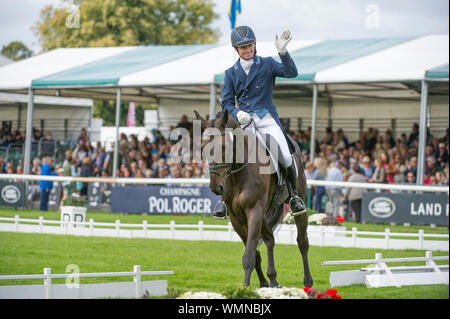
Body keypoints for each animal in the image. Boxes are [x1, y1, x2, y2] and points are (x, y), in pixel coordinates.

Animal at [193, 109, 312, 288]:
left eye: (224, 146)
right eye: (203, 147)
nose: (216, 187)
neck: (239, 173)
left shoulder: (254, 210)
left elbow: (248, 255)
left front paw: (246, 287)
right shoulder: (236, 217)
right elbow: (254, 252)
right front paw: (261, 283)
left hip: (298, 202)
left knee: (302, 241)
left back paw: (308, 281)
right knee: (269, 238)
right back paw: (273, 279)